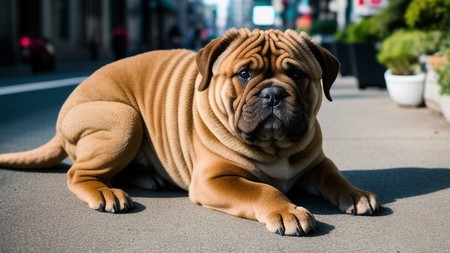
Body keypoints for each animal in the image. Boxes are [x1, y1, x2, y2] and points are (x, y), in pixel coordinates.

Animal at [0, 28, 380, 236]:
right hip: (126, 120)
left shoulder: (317, 164)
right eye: (244, 74)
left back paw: (149, 177)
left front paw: (356, 193)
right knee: (79, 174)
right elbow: (262, 190)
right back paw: (107, 193)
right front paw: (286, 210)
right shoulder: (214, 179)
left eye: (298, 75)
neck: (276, 149)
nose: (273, 93)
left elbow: (334, 177)